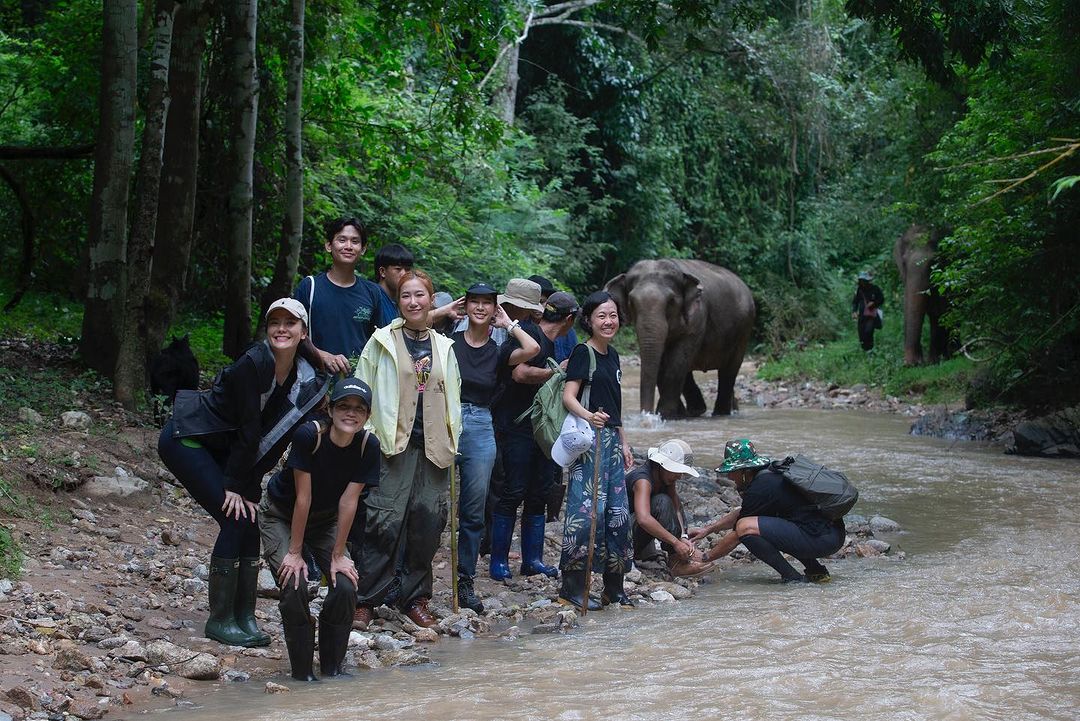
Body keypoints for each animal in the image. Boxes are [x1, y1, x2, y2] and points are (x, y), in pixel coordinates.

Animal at [609, 257, 751, 416]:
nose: (646, 415)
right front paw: (675, 414)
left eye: (671, 301)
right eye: (631, 302)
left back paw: (720, 413)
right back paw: (699, 410)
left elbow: (676, 364)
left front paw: (665, 414)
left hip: (744, 331)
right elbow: (663, 363)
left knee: (728, 372)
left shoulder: (697, 319)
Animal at [894, 222, 954, 362]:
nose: (913, 363)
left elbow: (942, 310)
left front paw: (937, 360)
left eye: (934, 261)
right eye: (903, 262)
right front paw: (932, 361)